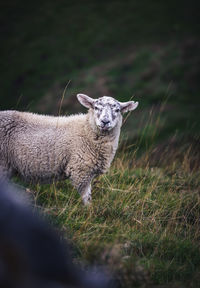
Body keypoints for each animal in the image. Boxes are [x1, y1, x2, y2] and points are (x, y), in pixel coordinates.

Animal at [0, 93, 138, 204]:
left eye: (117, 110)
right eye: (96, 107)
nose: (105, 122)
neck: (86, 130)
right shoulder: (80, 169)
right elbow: (86, 198)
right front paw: (89, 213)